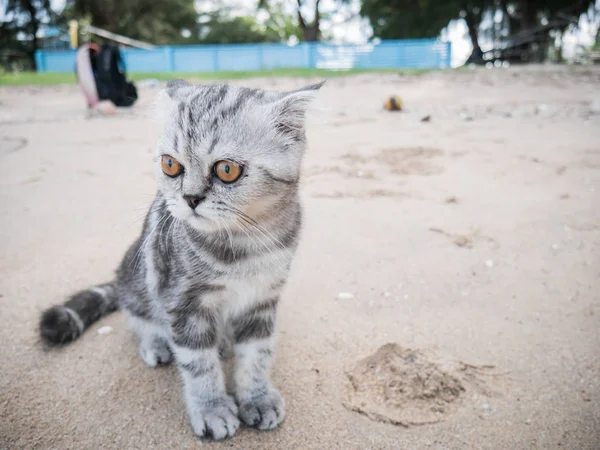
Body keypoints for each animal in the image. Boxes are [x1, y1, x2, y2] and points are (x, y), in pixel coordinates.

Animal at [38, 79, 324, 442]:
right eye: (170, 165)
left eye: (227, 169)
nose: (190, 197)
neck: (244, 244)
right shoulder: (183, 302)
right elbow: (198, 363)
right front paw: (212, 409)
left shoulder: (262, 300)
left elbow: (257, 355)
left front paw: (257, 398)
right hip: (137, 276)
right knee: (138, 316)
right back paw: (157, 343)